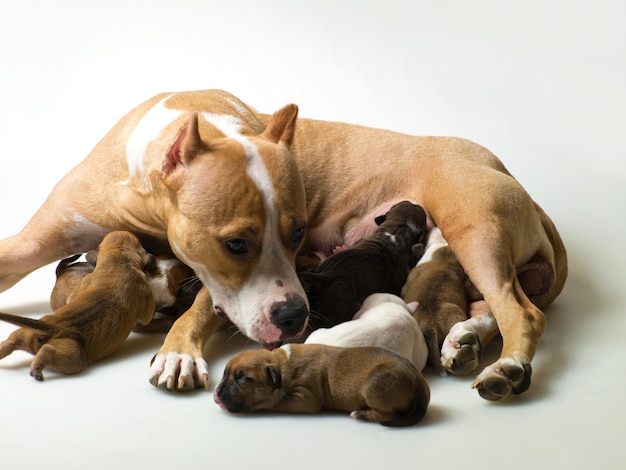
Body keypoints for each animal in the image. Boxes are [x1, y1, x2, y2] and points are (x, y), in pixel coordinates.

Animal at [0, 231, 155, 382]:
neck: (119, 261)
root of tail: (54, 326)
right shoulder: (146, 295)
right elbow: (147, 317)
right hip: (73, 355)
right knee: (49, 351)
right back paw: (37, 370)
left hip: (25, 334)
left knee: (11, 342)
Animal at [213, 344, 428, 428]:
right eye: (224, 373)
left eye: (242, 378)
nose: (216, 393)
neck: (283, 364)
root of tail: (420, 382)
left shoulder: (305, 398)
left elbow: (275, 402)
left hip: (375, 384)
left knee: (388, 414)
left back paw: (360, 414)